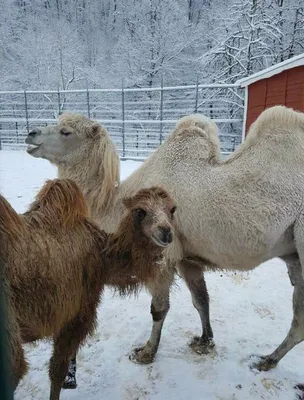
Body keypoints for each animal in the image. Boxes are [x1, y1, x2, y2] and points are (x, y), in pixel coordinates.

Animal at [0, 180, 176, 398]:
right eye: (140, 211)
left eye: (172, 209)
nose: (166, 231)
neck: (103, 257)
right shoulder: (78, 312)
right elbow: (57, 371)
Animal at [25, 104, 304, 376]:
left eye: (66, 132)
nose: (31, 133)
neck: (115, 206)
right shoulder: (187, 258)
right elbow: (201, 300)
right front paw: (204, 341)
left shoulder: (162, 254)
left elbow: (159, 309)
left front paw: (146, 353)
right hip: (294, 256)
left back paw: (266, 360)